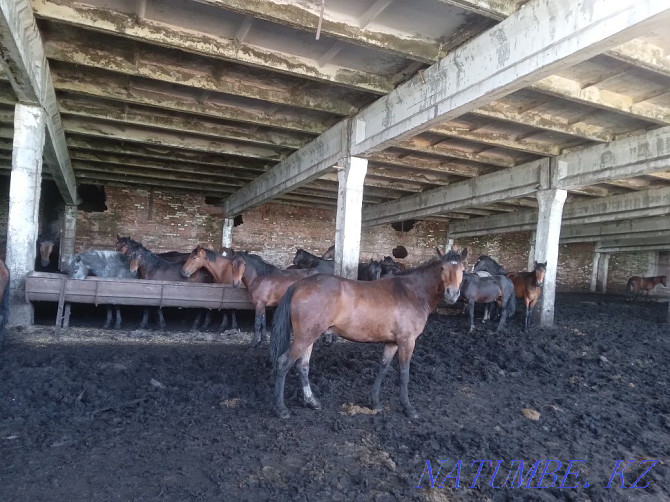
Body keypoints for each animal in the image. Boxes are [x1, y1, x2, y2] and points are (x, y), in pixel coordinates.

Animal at [270, 248, 470, 420]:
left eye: (462, 269)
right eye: (443, 268)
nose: (452, 294)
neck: (412, 292)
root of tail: (299, 285)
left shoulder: (392, 342)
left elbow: (383, 368)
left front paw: (375, 403)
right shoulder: (407, 341)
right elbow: (404, 373)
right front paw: (408, 408)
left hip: (310, 335)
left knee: (302, 366)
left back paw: (312, 402)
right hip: (304, 337)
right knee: (284, 363)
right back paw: (281, 409)